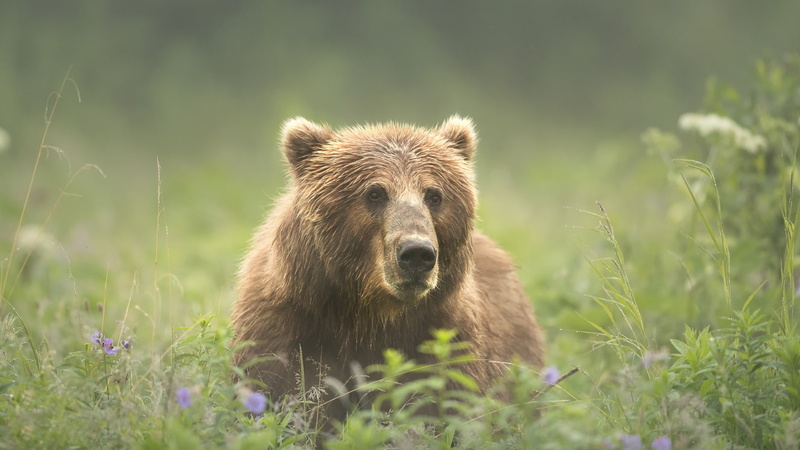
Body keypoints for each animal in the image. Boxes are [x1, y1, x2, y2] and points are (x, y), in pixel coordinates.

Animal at [231, 116, 544, 423]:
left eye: (434, 195)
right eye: (375, 192)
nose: (416, 254)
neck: (369, 314)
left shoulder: (442, 338)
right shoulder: (286, 329)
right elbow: (281, 389)